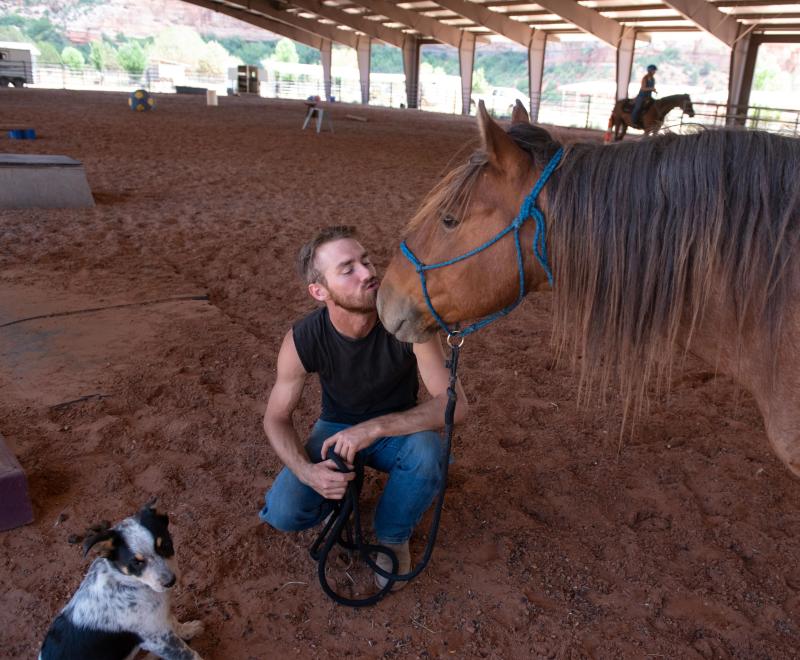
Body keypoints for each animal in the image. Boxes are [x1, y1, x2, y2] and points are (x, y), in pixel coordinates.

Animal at [39, 502, 205, 656]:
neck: (128, 582)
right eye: (136, 563)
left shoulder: (160, 619)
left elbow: (174, 622)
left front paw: (188, 629)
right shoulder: (157, 639)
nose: (170, 582)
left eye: (166, 545)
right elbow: (188, 654)